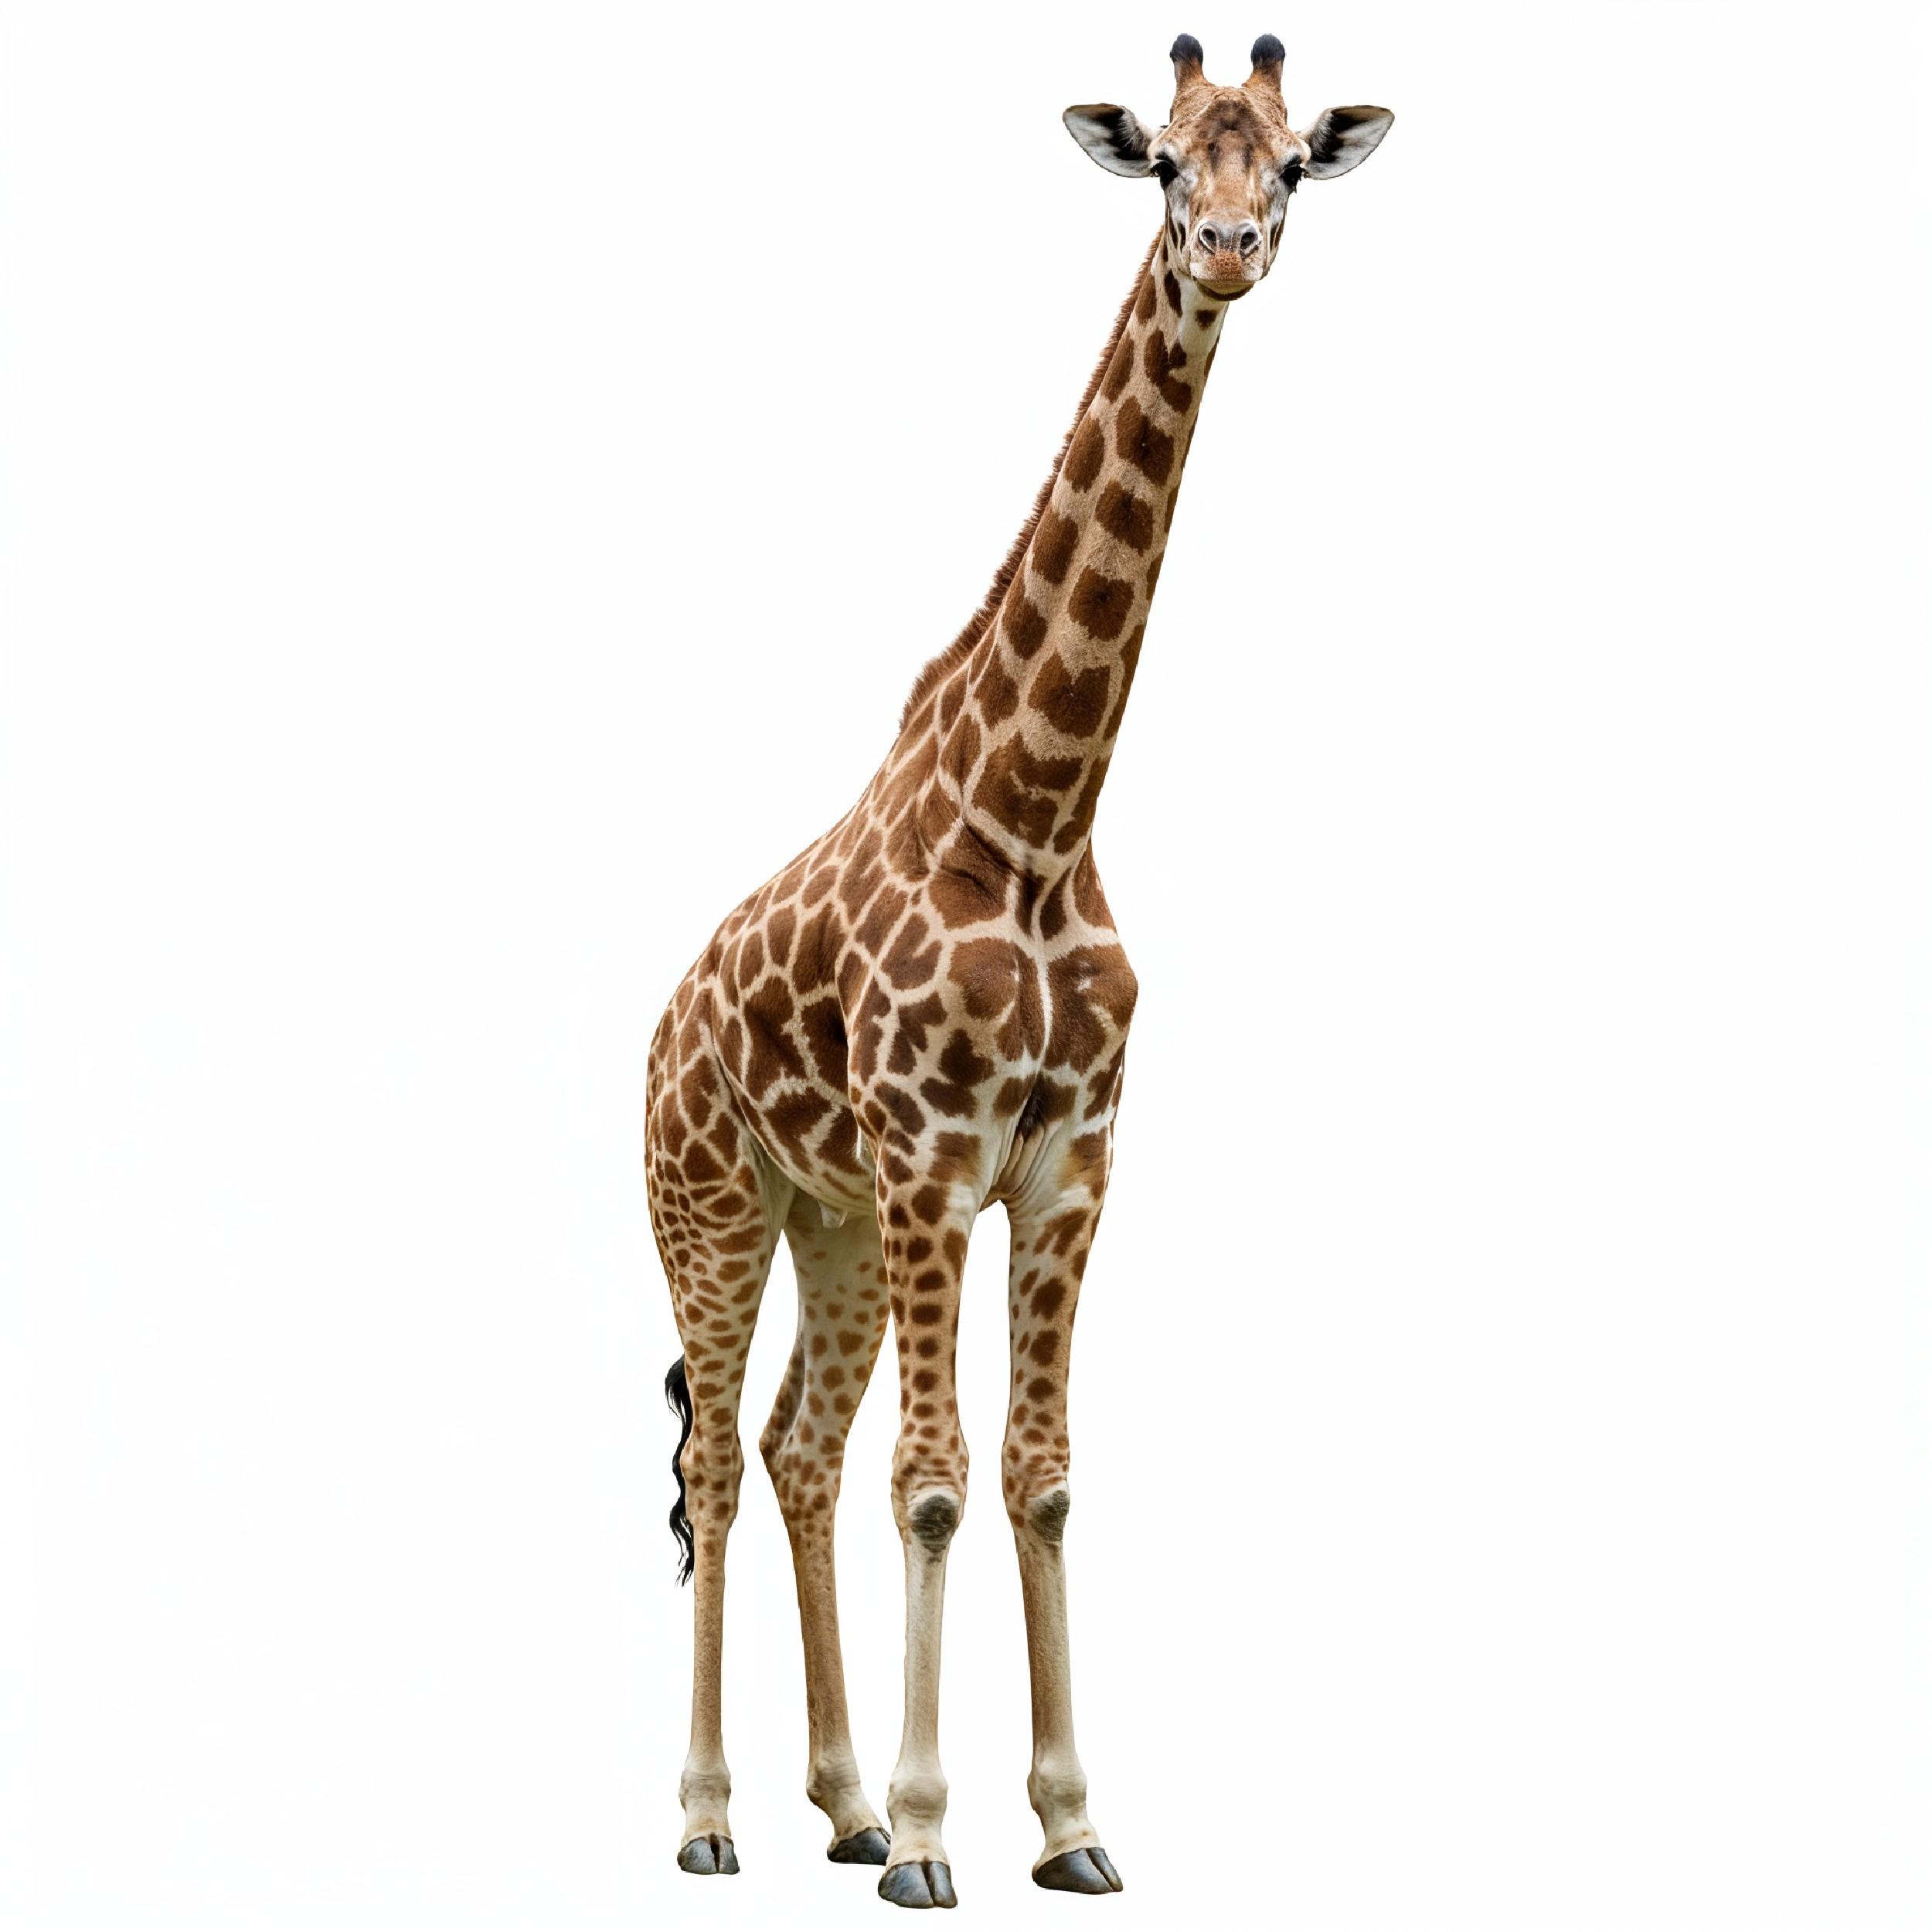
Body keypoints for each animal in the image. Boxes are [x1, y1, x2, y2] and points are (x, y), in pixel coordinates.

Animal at [647, 33, 1392, 1908]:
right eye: (1165, 166)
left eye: (1285, 162)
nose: (1224, 249)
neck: (1041, 816)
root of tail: (659, 1023)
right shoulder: (934, 1158)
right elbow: (935, 1479)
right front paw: (933, 1839)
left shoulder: (1064, 1170)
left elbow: (1040, 1477)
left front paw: (1066, 1824)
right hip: (714, 1207)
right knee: (717, 1455)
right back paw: (710, 1815)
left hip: (828, 1222)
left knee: (792, 1447)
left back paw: (832, 1803)